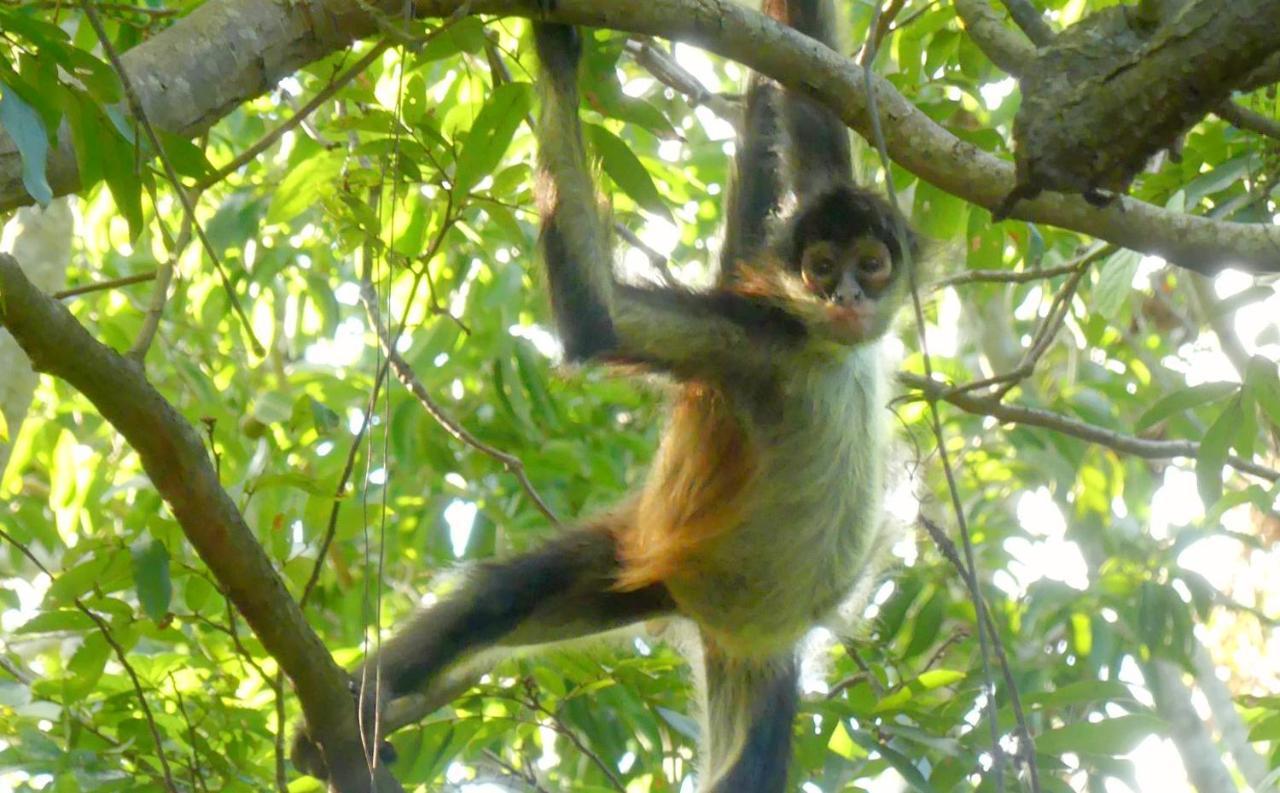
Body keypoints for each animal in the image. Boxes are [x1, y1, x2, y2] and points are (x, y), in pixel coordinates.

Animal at [293, 3, 911, 787]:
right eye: (822, 267)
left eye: (870, 263)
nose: (848, 297)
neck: (829, 349)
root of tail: (707, 612)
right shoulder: (754, 340)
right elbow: (600, 321)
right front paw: (556, 52)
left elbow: (808, 106)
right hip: (643, 561)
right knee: (504, 596)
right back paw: (345, 724)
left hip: (750, 647)